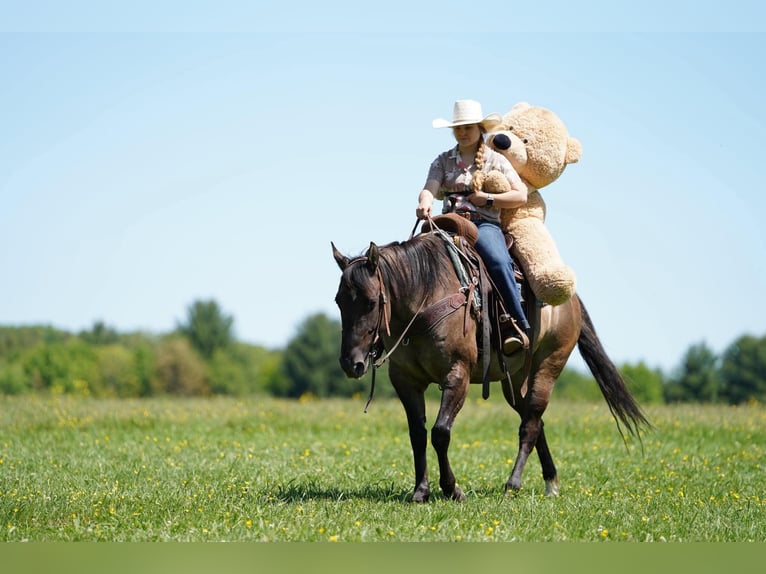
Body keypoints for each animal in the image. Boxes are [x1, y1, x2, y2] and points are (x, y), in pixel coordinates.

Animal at [332, 228, 650, 502]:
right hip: (516, 383)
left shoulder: (457, 375)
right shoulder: (406, 381)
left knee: (530, 426)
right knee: (535, 421)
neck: (426, 296)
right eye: (338, 301)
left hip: (548, 368)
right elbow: (418, 435)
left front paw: (452, 489)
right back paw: (551, 482)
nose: (350, 363)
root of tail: (570, 302)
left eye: (371, 302)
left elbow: (440, 432)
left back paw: (513, 484)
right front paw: (421, 491)